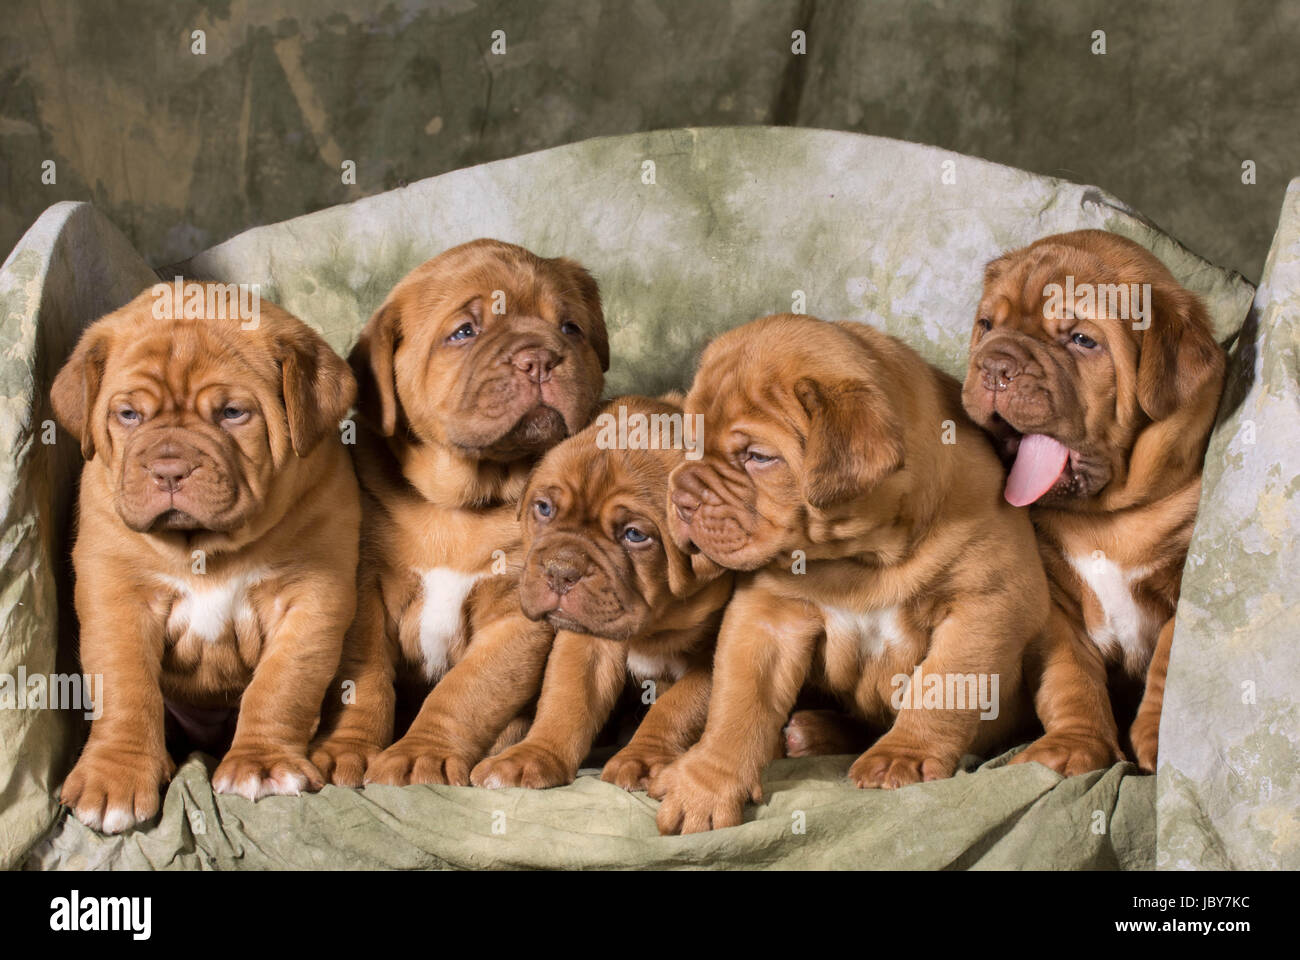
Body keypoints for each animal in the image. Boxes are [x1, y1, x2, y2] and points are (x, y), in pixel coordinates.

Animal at [51, 283, 358, 832]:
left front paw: (262, 765)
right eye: (129, 415)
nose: (170, 469)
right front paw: (114, 777)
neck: (204, 547)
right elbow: (125, 688)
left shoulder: (311, 595)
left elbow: (283, 683)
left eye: (233, 413)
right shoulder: (116, 594)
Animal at [309, 239, 608, 785]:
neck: (461, 504)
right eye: (465, 332)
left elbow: (466, 690)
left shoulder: (515, 612)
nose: (539, 358)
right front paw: (346, 748)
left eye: (570, 328)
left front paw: (419, 754)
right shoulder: (364, 593)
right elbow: (363, 680)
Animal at [467, 392, 733, 790]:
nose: (560, 571)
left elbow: (679, 705)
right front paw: (532, 756)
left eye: (635, 535)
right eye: (544, 508)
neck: (658, 621)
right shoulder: (585, 639)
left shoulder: (717, 650)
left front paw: (642, 758)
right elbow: (567, 697)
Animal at [650, 314, 1045, 832]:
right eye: (690, 442)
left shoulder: (984, 603)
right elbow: (738, 704)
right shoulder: (768, 617)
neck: (861, 557)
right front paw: (706, 784)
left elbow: (943, 684)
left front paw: (904, 755)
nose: (681, 497)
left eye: (758, 457)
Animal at [961, 227, 1222, 775]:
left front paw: (1155, 742)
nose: (994, 365)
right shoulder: (1056, 606)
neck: (1107, 519)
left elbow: (1168, 659)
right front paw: (1073, 745)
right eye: (987, 325)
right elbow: (1070, 677)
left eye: (1082, 340)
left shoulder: (1180, 584)